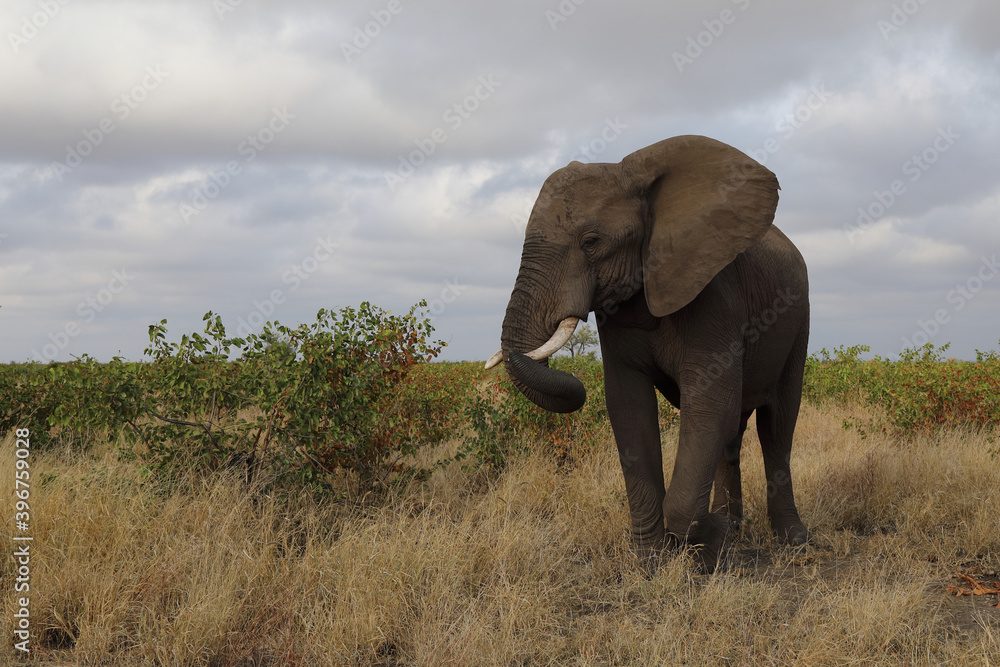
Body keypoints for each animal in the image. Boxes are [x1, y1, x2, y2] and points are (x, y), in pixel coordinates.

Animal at [485, 135, 810, 571]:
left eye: (591, 243)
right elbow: (629, 407)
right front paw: (652, 561)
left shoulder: (713, 294)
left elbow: (709, 402)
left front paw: (705, 538)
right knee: (732, 432)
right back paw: (734, 526)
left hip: (799, 318)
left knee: (776, 424)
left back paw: (793, 541)